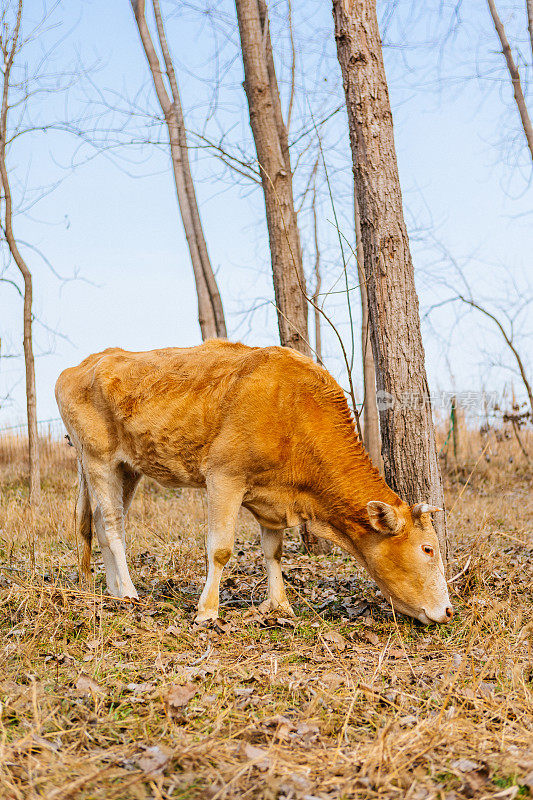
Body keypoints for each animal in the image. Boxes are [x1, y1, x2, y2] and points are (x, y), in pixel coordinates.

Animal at [55, 340, 454, 624]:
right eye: (428, 549)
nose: (450, 610)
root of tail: (84, 363)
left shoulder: (271, 499)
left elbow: (273, 551)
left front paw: (280, 606)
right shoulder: (223, 477)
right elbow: (220, 549)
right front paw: (207, 612)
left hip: (128, 467)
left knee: (103, 522)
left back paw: (112, 591)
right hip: (98, 459)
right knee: (111, 525)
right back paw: (128, 592)